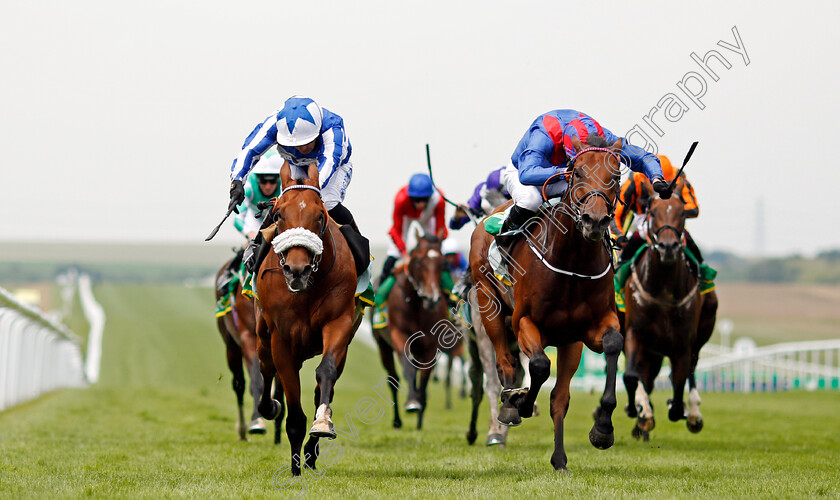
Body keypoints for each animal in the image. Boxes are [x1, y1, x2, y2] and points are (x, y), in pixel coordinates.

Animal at [215, 258, 284, 442]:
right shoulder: (248, 336)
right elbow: (256, 381)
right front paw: (256, 422)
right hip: (231, 345)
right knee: (239, 384)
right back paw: (243, 431)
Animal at [253, 163, 364, 476]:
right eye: (279, 214)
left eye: (320, 215)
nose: (297, 270)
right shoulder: (281, 339)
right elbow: (293, 411)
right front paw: (294, 469)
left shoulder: (338, 323)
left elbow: (325, 373)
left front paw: (322, 424)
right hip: (262, 336)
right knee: (266, 369)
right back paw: (269, 408)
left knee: (321, 387)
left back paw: (312, 454)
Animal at [370, 229, 460, 430]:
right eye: (418, 261)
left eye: (442, 263)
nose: (432, 298)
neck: (417, 305)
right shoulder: (399, 335)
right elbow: (407, 368)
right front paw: (412, 402)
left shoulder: (431, 345)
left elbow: (424, 378)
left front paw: (419, 407)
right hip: (382, 346)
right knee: (393, 378)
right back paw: (397, 420)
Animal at [472, 135, 624, 470]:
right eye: (577, 172)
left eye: (616, 176)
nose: (595, 221)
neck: (571, 263)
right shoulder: (525, 322)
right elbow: (540, 366)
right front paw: (520, 403)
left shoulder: (589, 329)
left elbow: (612, 345)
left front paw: (603, 430)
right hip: (488, 306)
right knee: (504, 362)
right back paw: (508, 406)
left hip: (569, 342)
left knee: (559, 397)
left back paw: (559, 458)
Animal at [620, 177, 720, 442]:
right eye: (653, 212)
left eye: (682, 213)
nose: (668, 247)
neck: (663, 293)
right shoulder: (634, 333)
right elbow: (632, 376)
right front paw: (639, 410)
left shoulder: (682, 343)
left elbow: (678, 384)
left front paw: (680, 409)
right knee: (645, 376)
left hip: (702, 331)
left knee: (692, 370)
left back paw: (693, 412)